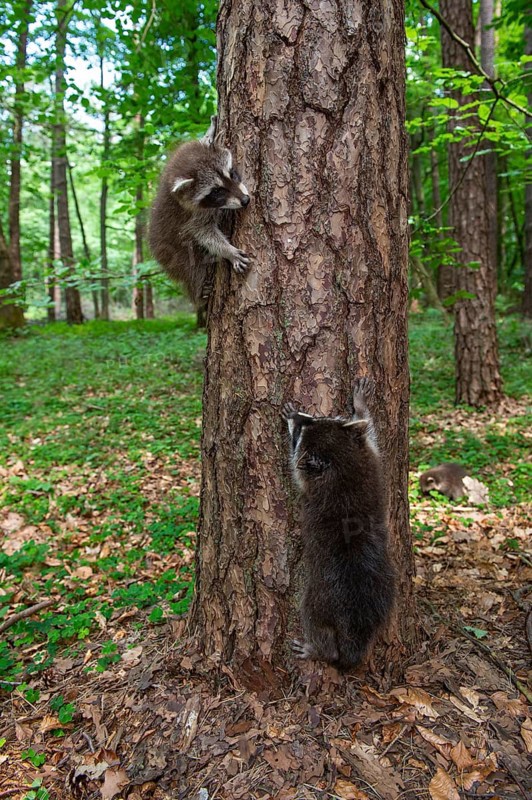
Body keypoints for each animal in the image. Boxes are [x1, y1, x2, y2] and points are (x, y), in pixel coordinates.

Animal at [148, 118, 251, 308]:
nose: (245, 200)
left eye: (231, 174)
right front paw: (228, 251)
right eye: (216, 192)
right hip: (174, 255)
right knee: (191, 266)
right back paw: (198, 292)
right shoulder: (192, 216)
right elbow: (203, 233)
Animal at [283, 377, 396, 670]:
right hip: (386, 593)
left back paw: (321, 651)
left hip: (318, 599)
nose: (295, 415)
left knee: (315, 623)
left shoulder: (313, 483)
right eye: (316, 419)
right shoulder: (370, 458)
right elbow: (370, 430)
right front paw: (361, 406)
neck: (342, 463)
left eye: (299, 434)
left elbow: (295, 474)